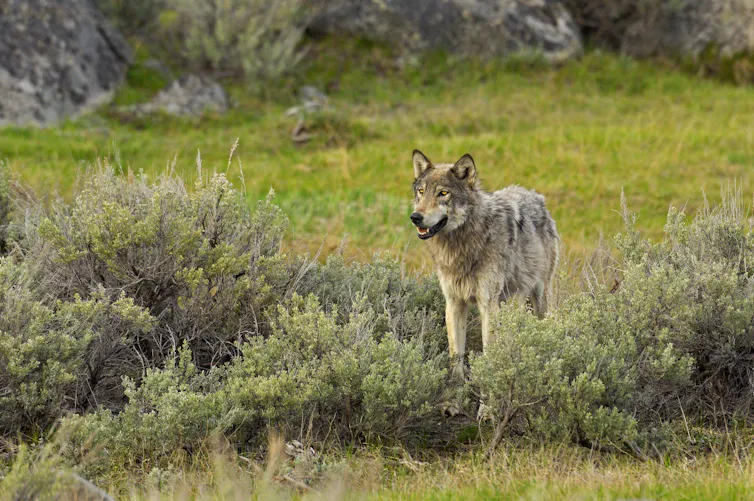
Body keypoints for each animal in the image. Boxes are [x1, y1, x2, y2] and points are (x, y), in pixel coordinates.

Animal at [410, 150, 559, 372]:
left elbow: (489, 352)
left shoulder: (487, 303)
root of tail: (536, 196)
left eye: (443, 193)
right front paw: (457, 381)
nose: (415, 217)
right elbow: (455, 354)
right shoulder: (454, 302)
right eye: (421, 191)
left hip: (539, 297)